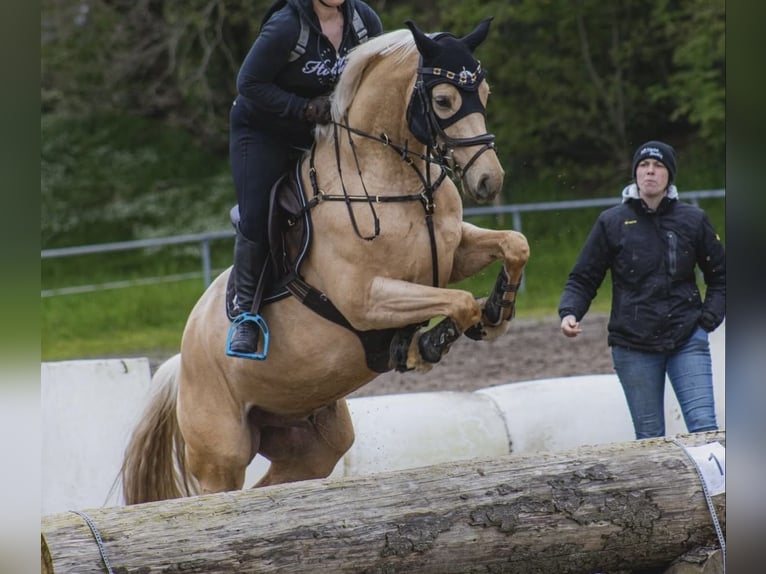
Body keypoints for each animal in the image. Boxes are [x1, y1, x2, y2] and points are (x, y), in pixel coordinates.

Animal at [121, 18, 529, 505]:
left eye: (484, 93)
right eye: (445, 100)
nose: (489, 180)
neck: (393, 183)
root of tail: (181, 363)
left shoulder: (453, 255)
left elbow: (515, 244)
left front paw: (499, 309)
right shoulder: (366, 298)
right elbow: (459, 301)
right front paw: (428, 344)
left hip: (309, 438)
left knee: (280, 482)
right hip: (221, 454)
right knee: (222, 492)